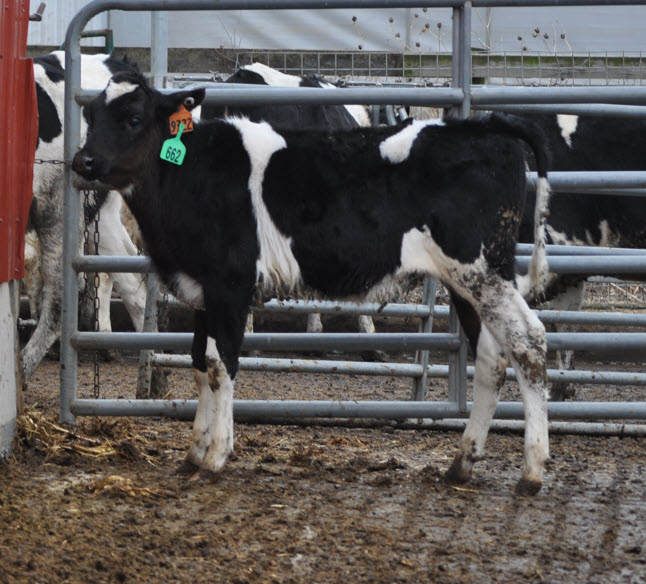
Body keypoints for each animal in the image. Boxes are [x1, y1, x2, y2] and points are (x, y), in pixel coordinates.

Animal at [72, 70, 552, 494]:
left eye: (134, 118)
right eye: (91, 115)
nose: (84, 161)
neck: (192, 173)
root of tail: (483, 126)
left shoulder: (230, 285)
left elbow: (222, 365)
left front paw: (216, 457)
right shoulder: (202, 290)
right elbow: (199, 365)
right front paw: (194, 453)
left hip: (481, 271)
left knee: (528, 340)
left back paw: (532, 471)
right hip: (468, 282)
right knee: (491, 356)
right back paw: (462, 464)